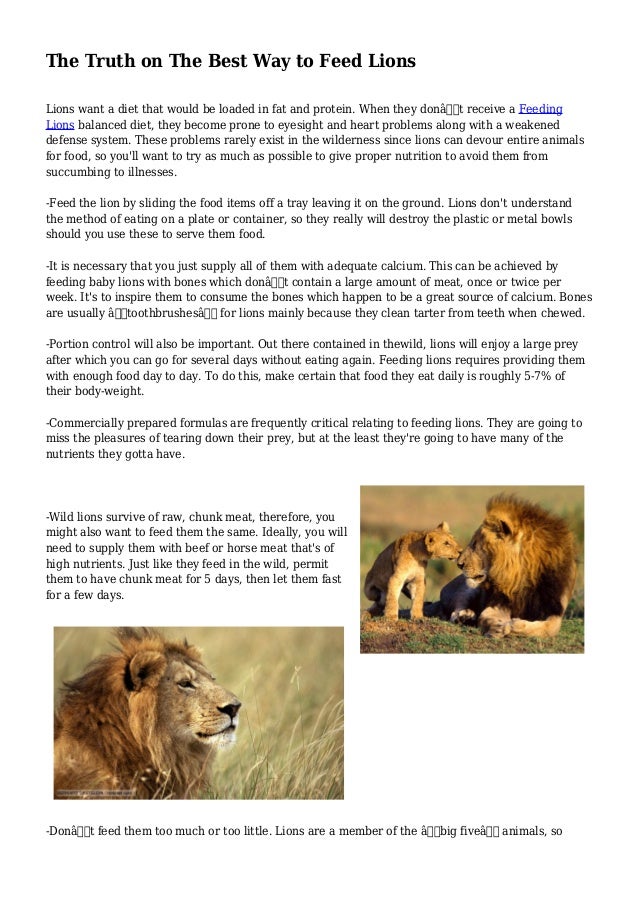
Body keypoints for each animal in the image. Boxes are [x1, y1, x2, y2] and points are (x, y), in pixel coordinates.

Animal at [440, 495, 577, 638]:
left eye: (475, 544)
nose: (459, 564)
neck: (524, 576)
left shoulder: (554, 608)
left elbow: (551, 627)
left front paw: (515, 625)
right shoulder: (499, 601)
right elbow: (486, 615)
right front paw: (497, 627)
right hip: (468, 587)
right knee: (457, 607)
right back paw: (464, 616)